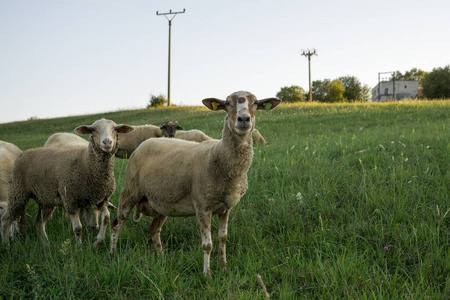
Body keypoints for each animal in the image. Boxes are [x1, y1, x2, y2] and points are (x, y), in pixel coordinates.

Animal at [1, 118, 134, 246]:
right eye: (93, 130)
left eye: (115, 128)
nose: (107, 142)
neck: (85, 162)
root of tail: (23, 153)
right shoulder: (70, 200)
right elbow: (78, 228)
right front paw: (79, 247)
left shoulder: (101, 199)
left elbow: (106, 218)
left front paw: (98, 241)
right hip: (18, 192)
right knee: (6, 219)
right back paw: (6, 245)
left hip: (46, 199)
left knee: (39, 222)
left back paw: (46, 244)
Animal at [109, 91, 280, 276]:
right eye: (227, 103)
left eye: (255, 103)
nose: (243, 119)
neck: (219, 155)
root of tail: (144, 144)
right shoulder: (202, 207)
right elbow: (207, 245)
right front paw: (207, 274)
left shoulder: (225, 208)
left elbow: (223, 238)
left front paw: (224, 267)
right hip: (129, 191)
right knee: (116, 224)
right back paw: (112, 254)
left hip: (162, 203)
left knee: (154, 229)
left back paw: (161, 258)